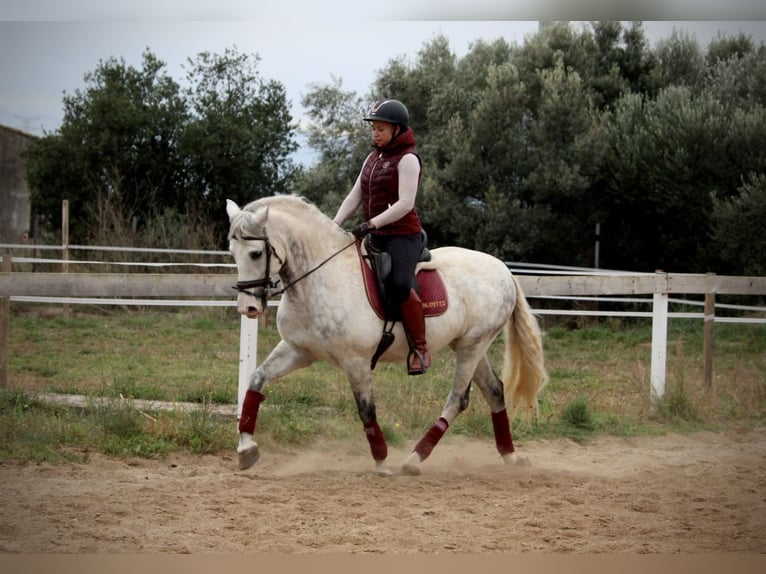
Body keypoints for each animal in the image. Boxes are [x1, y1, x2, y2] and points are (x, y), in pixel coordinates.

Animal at [226, 194, 547, 476]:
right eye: (233, 253)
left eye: (256, 253)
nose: (248, 308)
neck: (321, 278)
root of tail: (503, 270)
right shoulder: (298, 351)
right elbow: (256, 381)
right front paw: (246, 449)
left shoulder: (356, 361)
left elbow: (366, 410)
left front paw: (381, 462)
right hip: (470, 346)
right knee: (494, 391)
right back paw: (510, 455)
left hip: (473, 345)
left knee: (458, 400)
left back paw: (414, 459)